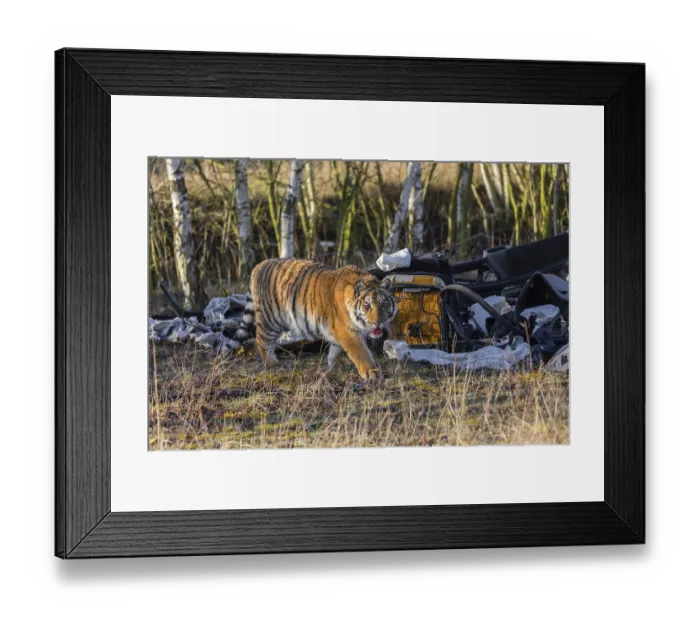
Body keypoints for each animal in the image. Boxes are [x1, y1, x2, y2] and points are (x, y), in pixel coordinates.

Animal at [231, 258, 397, 379]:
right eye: (367, 305)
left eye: (383, 304)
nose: (377, 323)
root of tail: (259, 265)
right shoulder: (349, 334)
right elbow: (362, 353)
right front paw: (371, 372)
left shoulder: (339, 333)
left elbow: (335, 351)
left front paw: (333, 367)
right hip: (270, 320)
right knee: (261, 341)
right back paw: (273, 364)